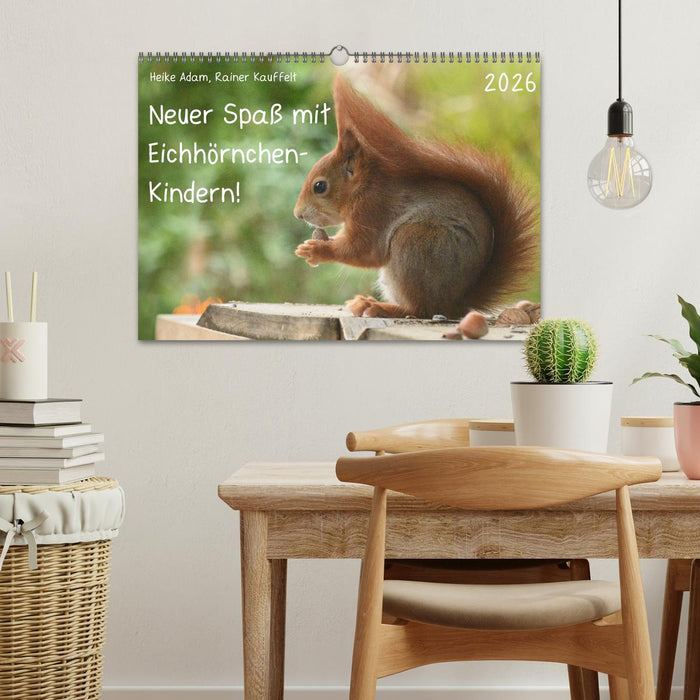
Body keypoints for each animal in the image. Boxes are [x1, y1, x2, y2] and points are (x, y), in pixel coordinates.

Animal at [293, 76, 538, 319]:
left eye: (319, 186)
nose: (298, 215)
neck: (363, 188)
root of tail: (456, 303)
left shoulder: (373, 211)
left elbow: (363, 251)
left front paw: (316, 250)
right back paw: (367, 302)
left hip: (414, 244)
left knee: (421, 309)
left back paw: (381, 307)